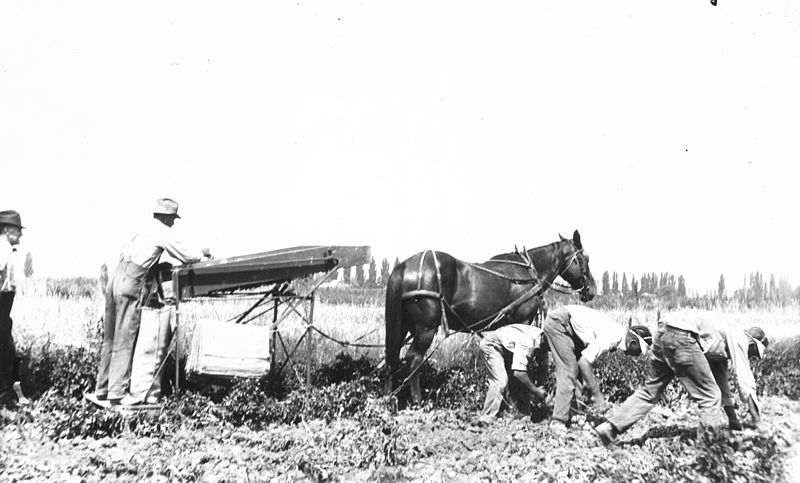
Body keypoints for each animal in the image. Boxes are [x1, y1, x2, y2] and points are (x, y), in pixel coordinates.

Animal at [384, 229, 596, 402]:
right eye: (584, 258)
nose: (592, 290)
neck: (529, 273)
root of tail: (405, 265)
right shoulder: (522, 321)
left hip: (404, 326)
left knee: (392, 356)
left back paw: (390, 400)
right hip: (425, 328)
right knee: (413, 359)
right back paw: (417, 402)